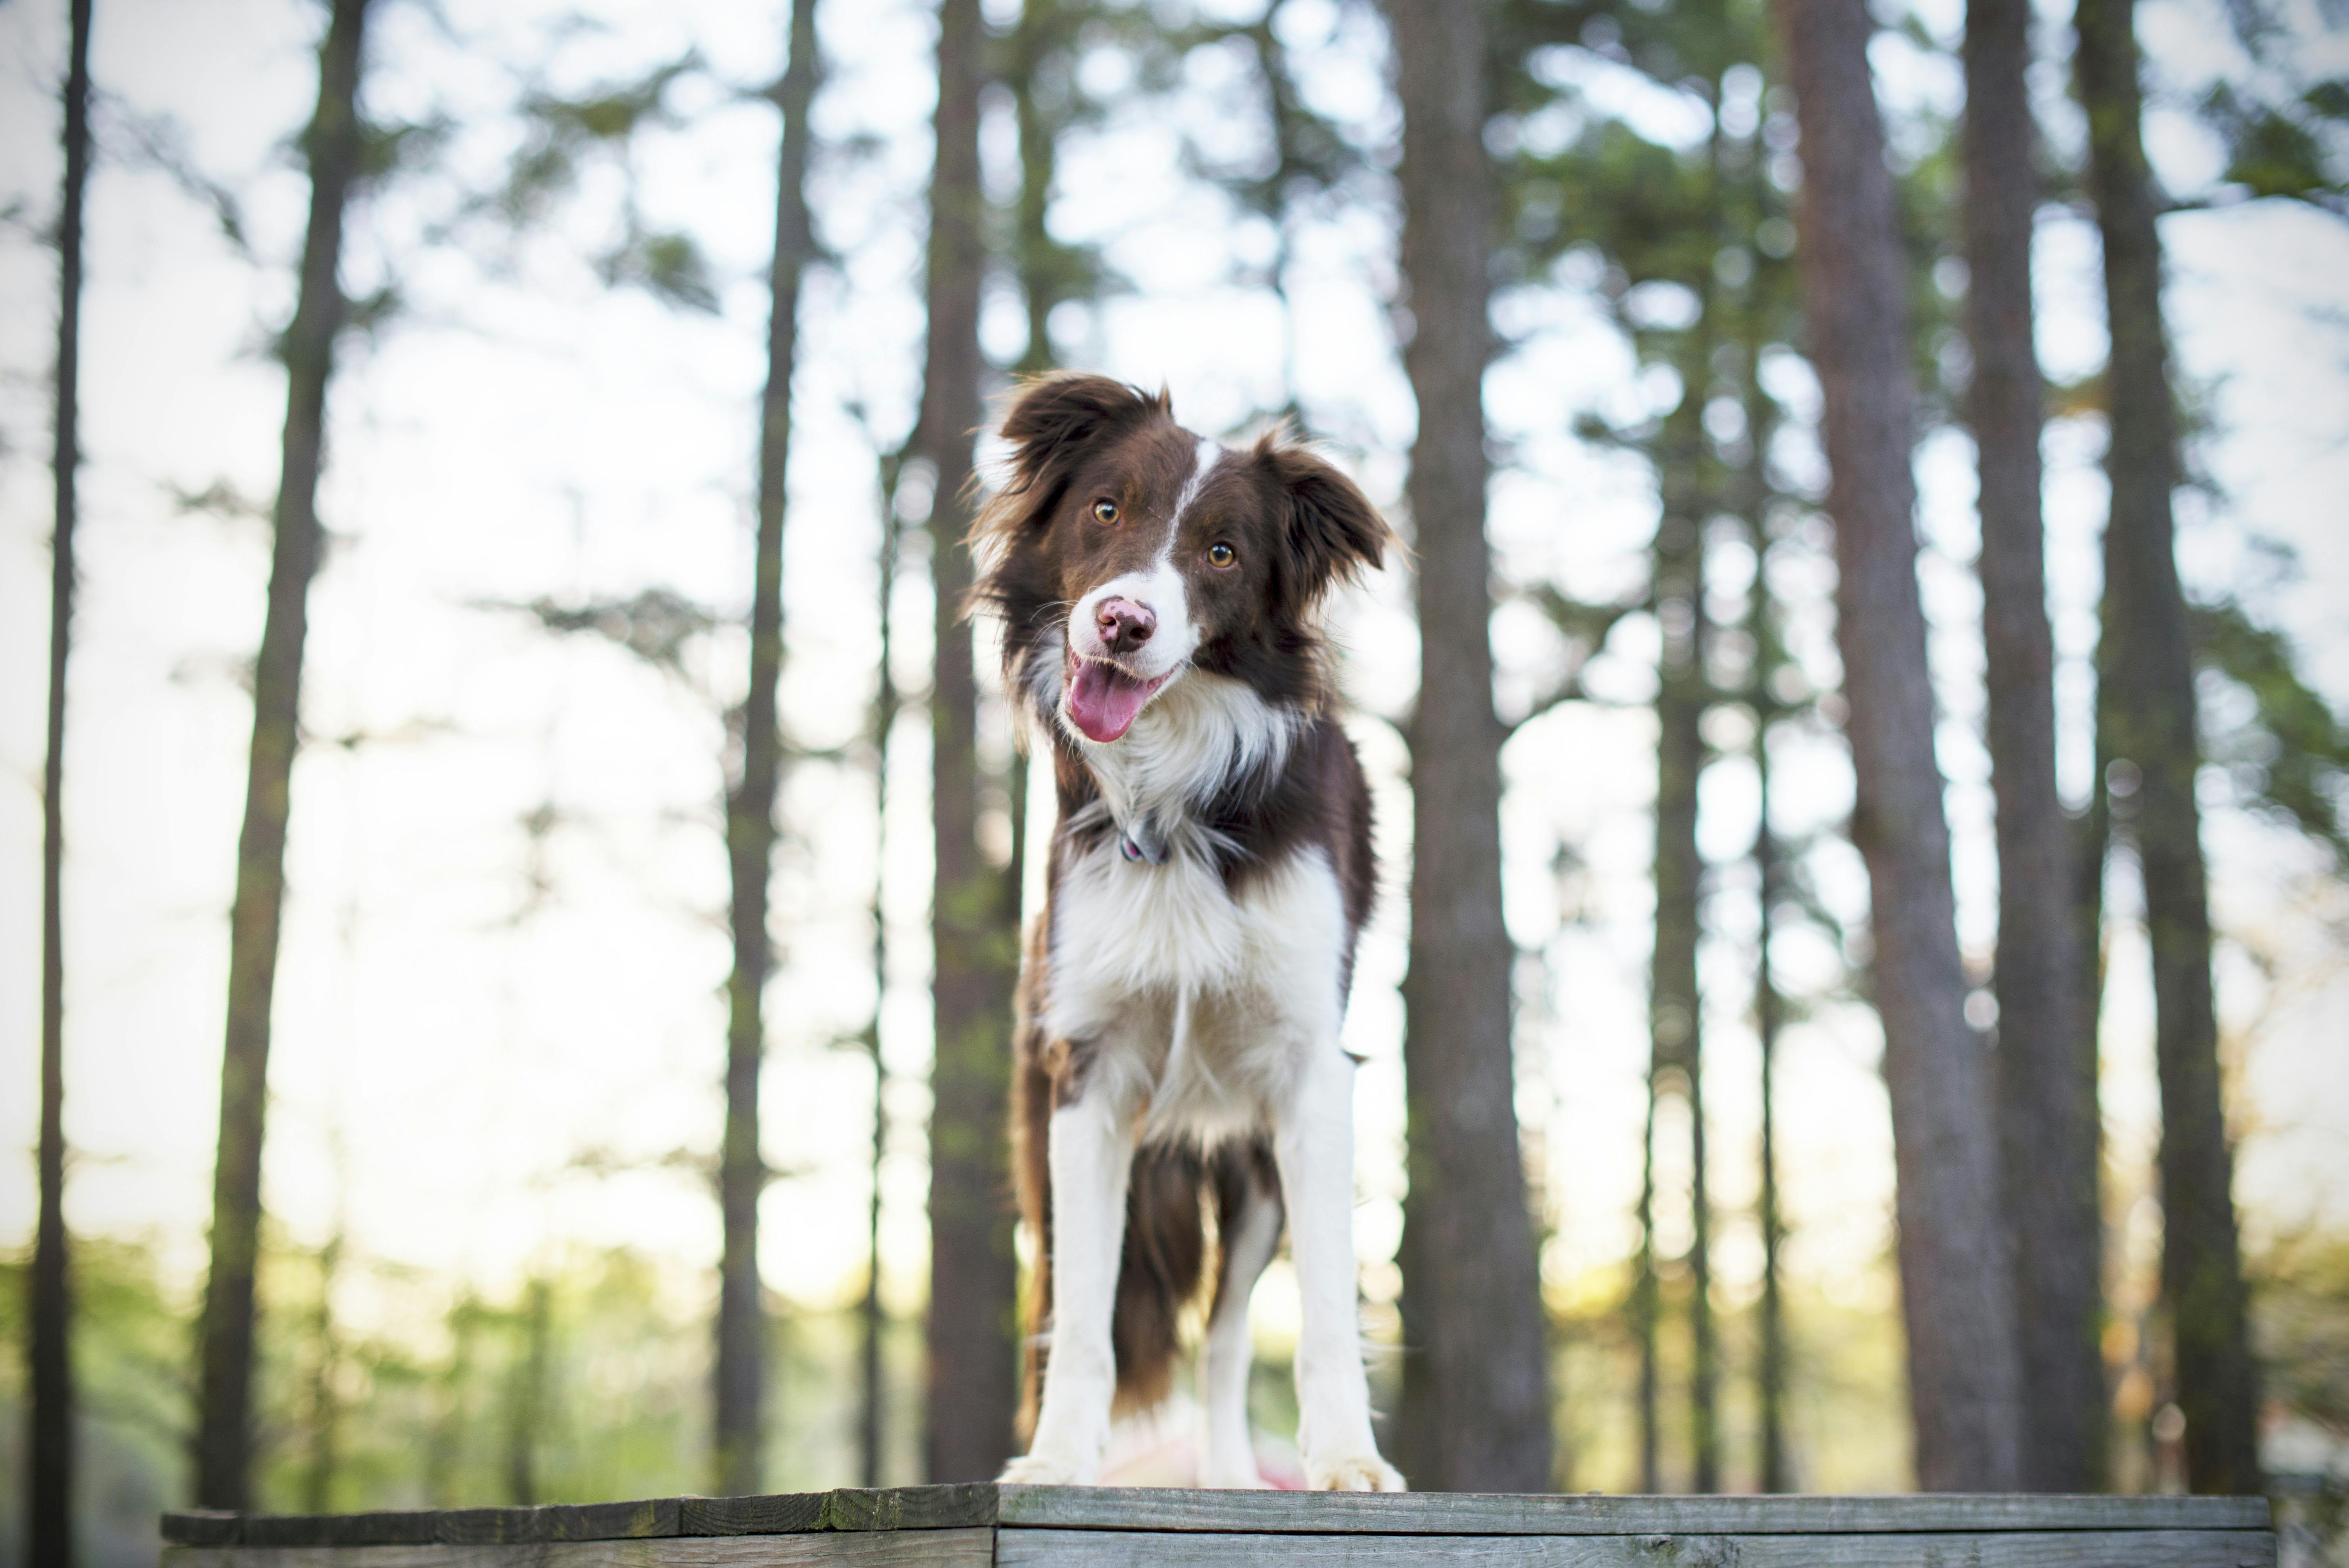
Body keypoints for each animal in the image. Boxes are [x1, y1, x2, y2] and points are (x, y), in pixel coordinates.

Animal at [968, 373, 1400, 1493]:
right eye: (1104, 509)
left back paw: (1236, 1480)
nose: (1122, 621)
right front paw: (1057, 1460)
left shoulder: (1308, 1071)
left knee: (1227, 1331)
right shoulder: (1085, 1072)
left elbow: (1323, 1305)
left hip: (1250, 1175)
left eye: (1222, 553)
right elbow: (1082, 1312)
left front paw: (1349, 1460)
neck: (1177, 798)